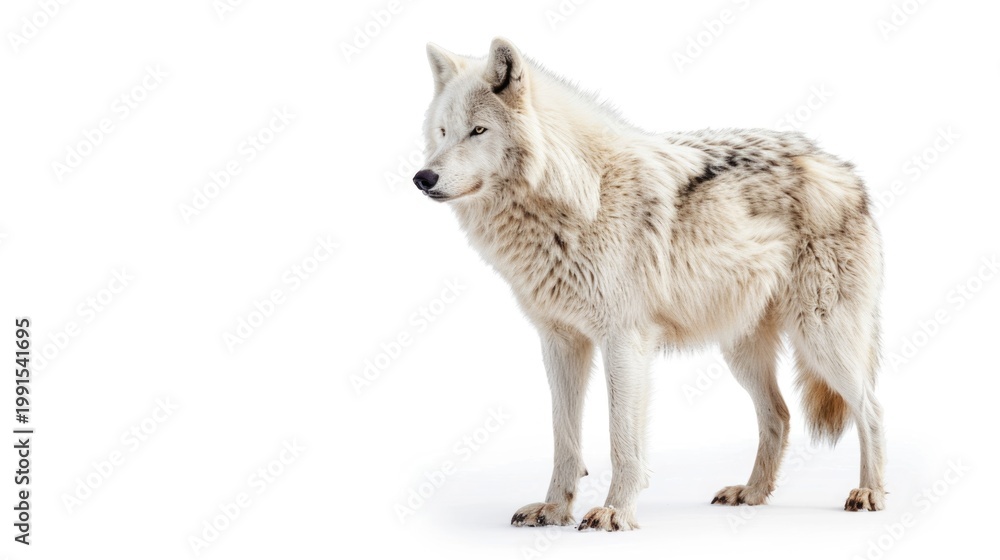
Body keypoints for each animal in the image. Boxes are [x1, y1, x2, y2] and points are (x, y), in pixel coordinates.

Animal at [414, 37, 886, 531]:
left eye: (478, 130)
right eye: (442, 132)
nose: (423, 178)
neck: (581, 195)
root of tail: (845, 171)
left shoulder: (624, 340)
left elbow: (622, 441)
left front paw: (615, 512)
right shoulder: (560, 342)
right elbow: (564, 440)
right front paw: (555, 510)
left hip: (823, 337)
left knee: (871, 408)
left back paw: (869, 492)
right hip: (740, 350)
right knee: (779, 414)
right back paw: (752, 493)